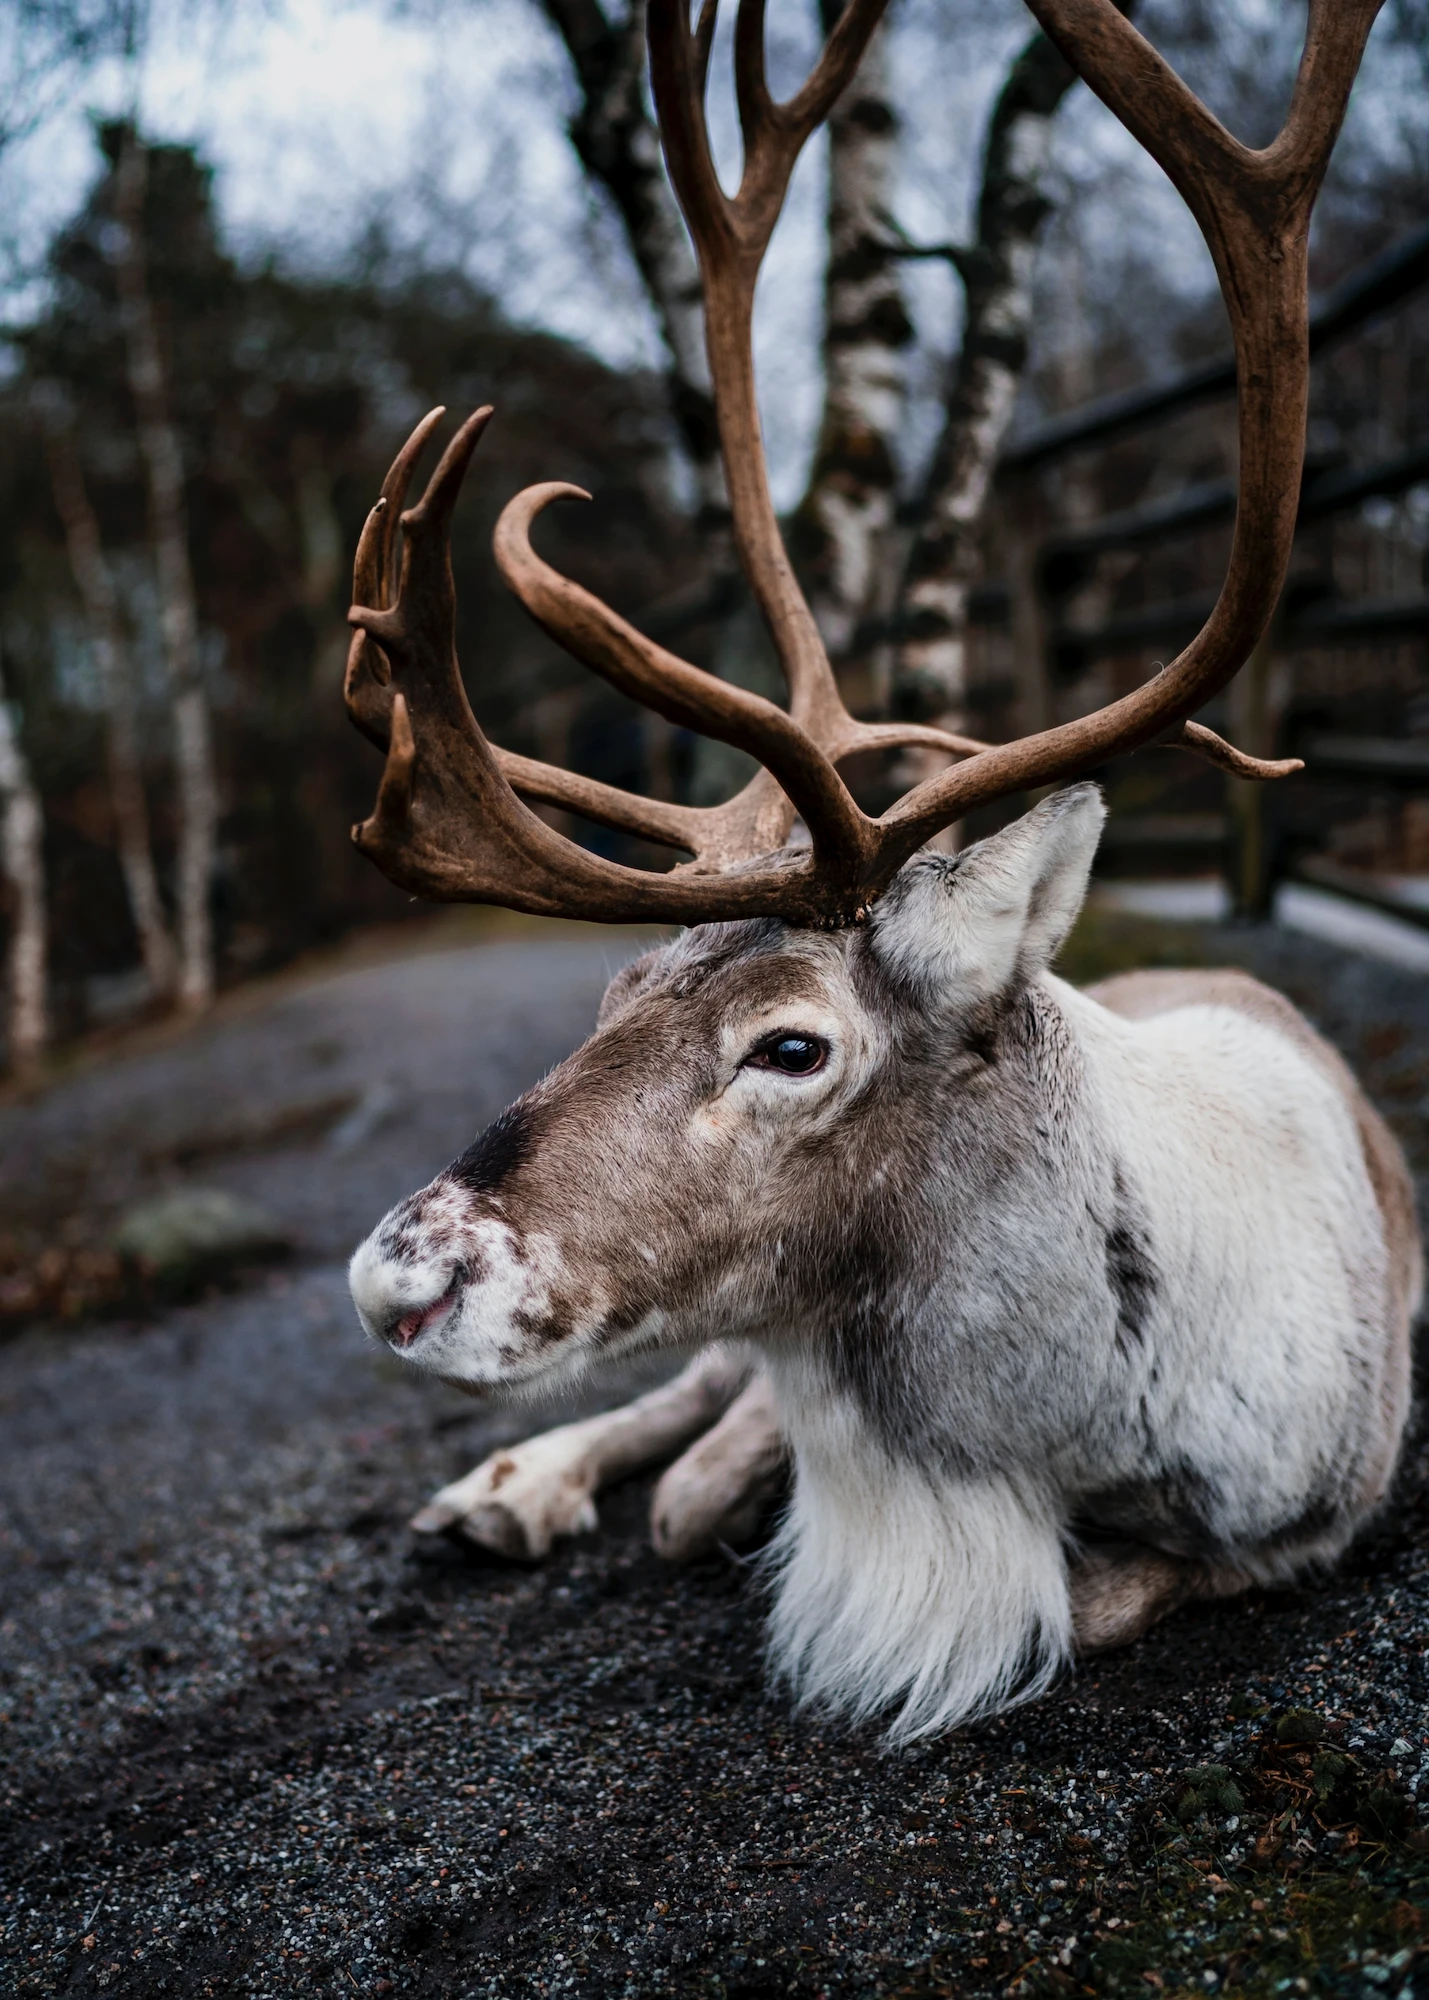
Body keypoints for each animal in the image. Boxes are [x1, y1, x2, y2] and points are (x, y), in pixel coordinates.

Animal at [342, 0, 1417, 1741]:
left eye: (790, 1046)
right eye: (611, 990)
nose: (398, 1279)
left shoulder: (1309, 1514)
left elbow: (1092, 1600)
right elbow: (705, 1482)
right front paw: (671, 1483)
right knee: (682, 1398)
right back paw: (511, 1486)